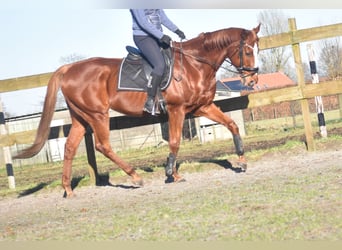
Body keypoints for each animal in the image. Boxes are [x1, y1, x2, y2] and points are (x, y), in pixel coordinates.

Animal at [13, 24, 260, 196]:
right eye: (248, 51)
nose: (253, 79)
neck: (194, 65)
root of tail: (69, 68)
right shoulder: (177, 110)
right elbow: (175, 141)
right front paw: (172, 173)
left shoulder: (202, 107)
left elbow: (232, 124)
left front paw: (242, 161)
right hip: (97, 115)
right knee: (102, 146)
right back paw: (135, 177)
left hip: (80, 118)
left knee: (70, 148)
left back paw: (68, 189)